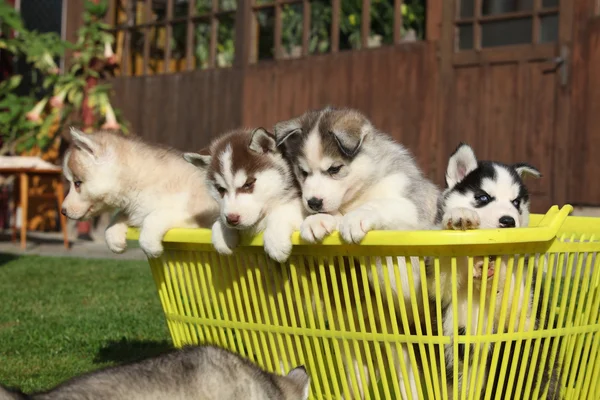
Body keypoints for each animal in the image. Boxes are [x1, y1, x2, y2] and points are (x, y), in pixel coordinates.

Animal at [62, 129, 218, 260]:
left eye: (77, 183)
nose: (63, 211)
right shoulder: (135, 209)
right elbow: (118, 218)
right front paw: (114, 238)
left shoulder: (202, 212)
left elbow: (153, 217)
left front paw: (151, 247)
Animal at [183, 128, 304, 262]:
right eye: (220, 189)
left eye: (248, 184)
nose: (232, 219)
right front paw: (221, 230)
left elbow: (283, 210)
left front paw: (274, 240)